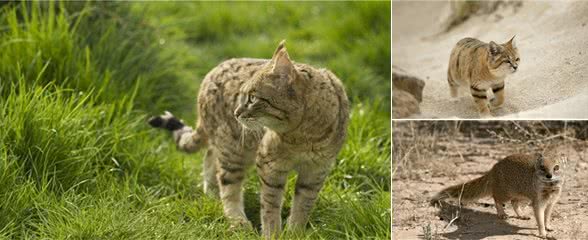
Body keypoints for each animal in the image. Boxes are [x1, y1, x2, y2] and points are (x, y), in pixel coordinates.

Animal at [148, 39, 350, 238]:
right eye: (242, 95)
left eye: (252, 98)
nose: (236, 113)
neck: (304, 136)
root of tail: (208, 76)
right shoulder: (270, 164)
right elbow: (270, 205)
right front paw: (272, 234)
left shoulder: (317, 169)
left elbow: (303, 205)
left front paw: (295, 233)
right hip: (233, 148)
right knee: (227, 182)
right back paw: (237, 221)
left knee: (210, 157)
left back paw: (211, 194)